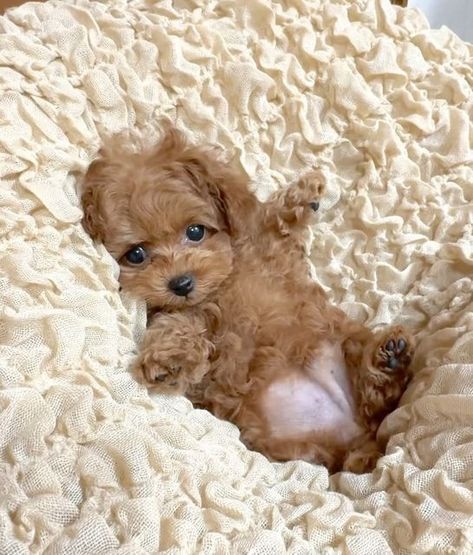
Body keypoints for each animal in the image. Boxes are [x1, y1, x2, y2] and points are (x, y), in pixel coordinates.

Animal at [81, 129, 412, 474]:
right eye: (136, 255)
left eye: (195, 231)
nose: (181, 283)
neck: (223, 279)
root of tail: (352, 436)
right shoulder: (188, 313)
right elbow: (177, 323)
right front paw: (171, 359)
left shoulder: (270, 249)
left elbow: (272, 222)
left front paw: (305, 194)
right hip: (289, 444)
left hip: (348, 341)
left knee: (380, 400)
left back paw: (390, 358)